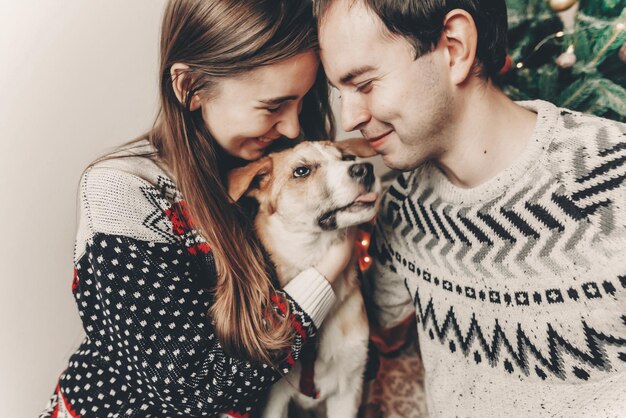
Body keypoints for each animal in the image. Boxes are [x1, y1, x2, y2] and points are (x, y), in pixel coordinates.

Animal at [225, 140, 378, 418]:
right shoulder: (274, 399)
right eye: (301, 171)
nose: (366, 169)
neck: (312, 258)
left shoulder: (349, 388)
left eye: (347, 157)